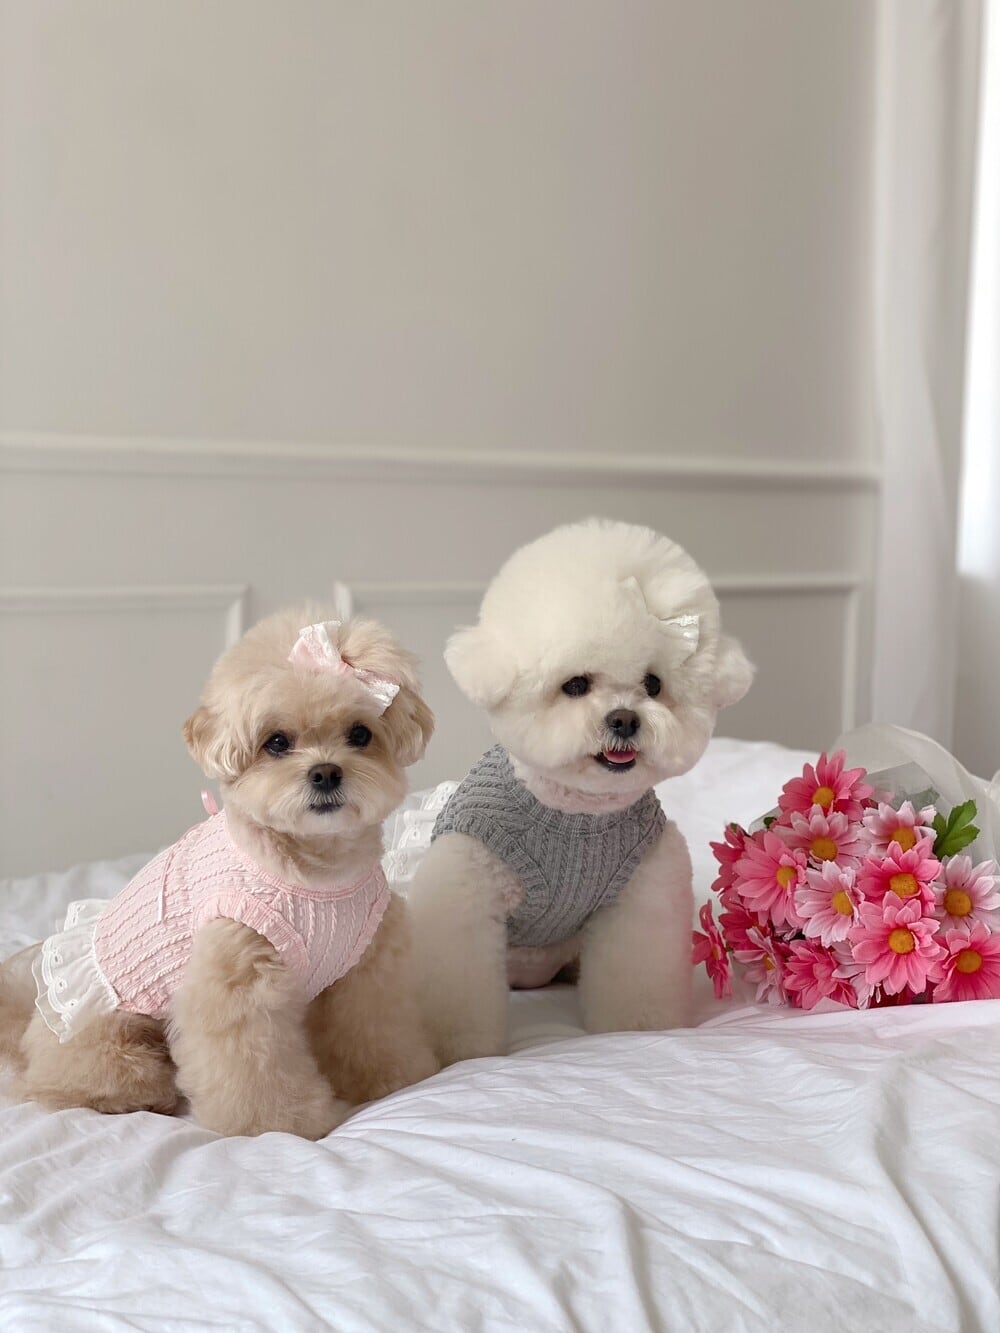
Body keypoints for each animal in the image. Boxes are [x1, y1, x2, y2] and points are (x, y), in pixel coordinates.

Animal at [0, 609, 438, 1137]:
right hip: (112, 1037)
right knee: (74, 1084)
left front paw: (391, 1079)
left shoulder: (365, 972)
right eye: (276, 743)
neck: (317, 874)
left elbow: (373, 1030)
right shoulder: (238, 983)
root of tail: (28, 1030)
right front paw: (278, 1124)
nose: (326, 773)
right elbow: (252, 1066)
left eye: (360, 734)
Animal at [407, 519, 754, 1064]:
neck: (574, 812)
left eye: (653, 684)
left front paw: (635, 1029)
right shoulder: (466, 891)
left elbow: (635, 970)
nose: (625, 720)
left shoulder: (641, 895)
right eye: (575, 685)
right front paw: (458, 1052)